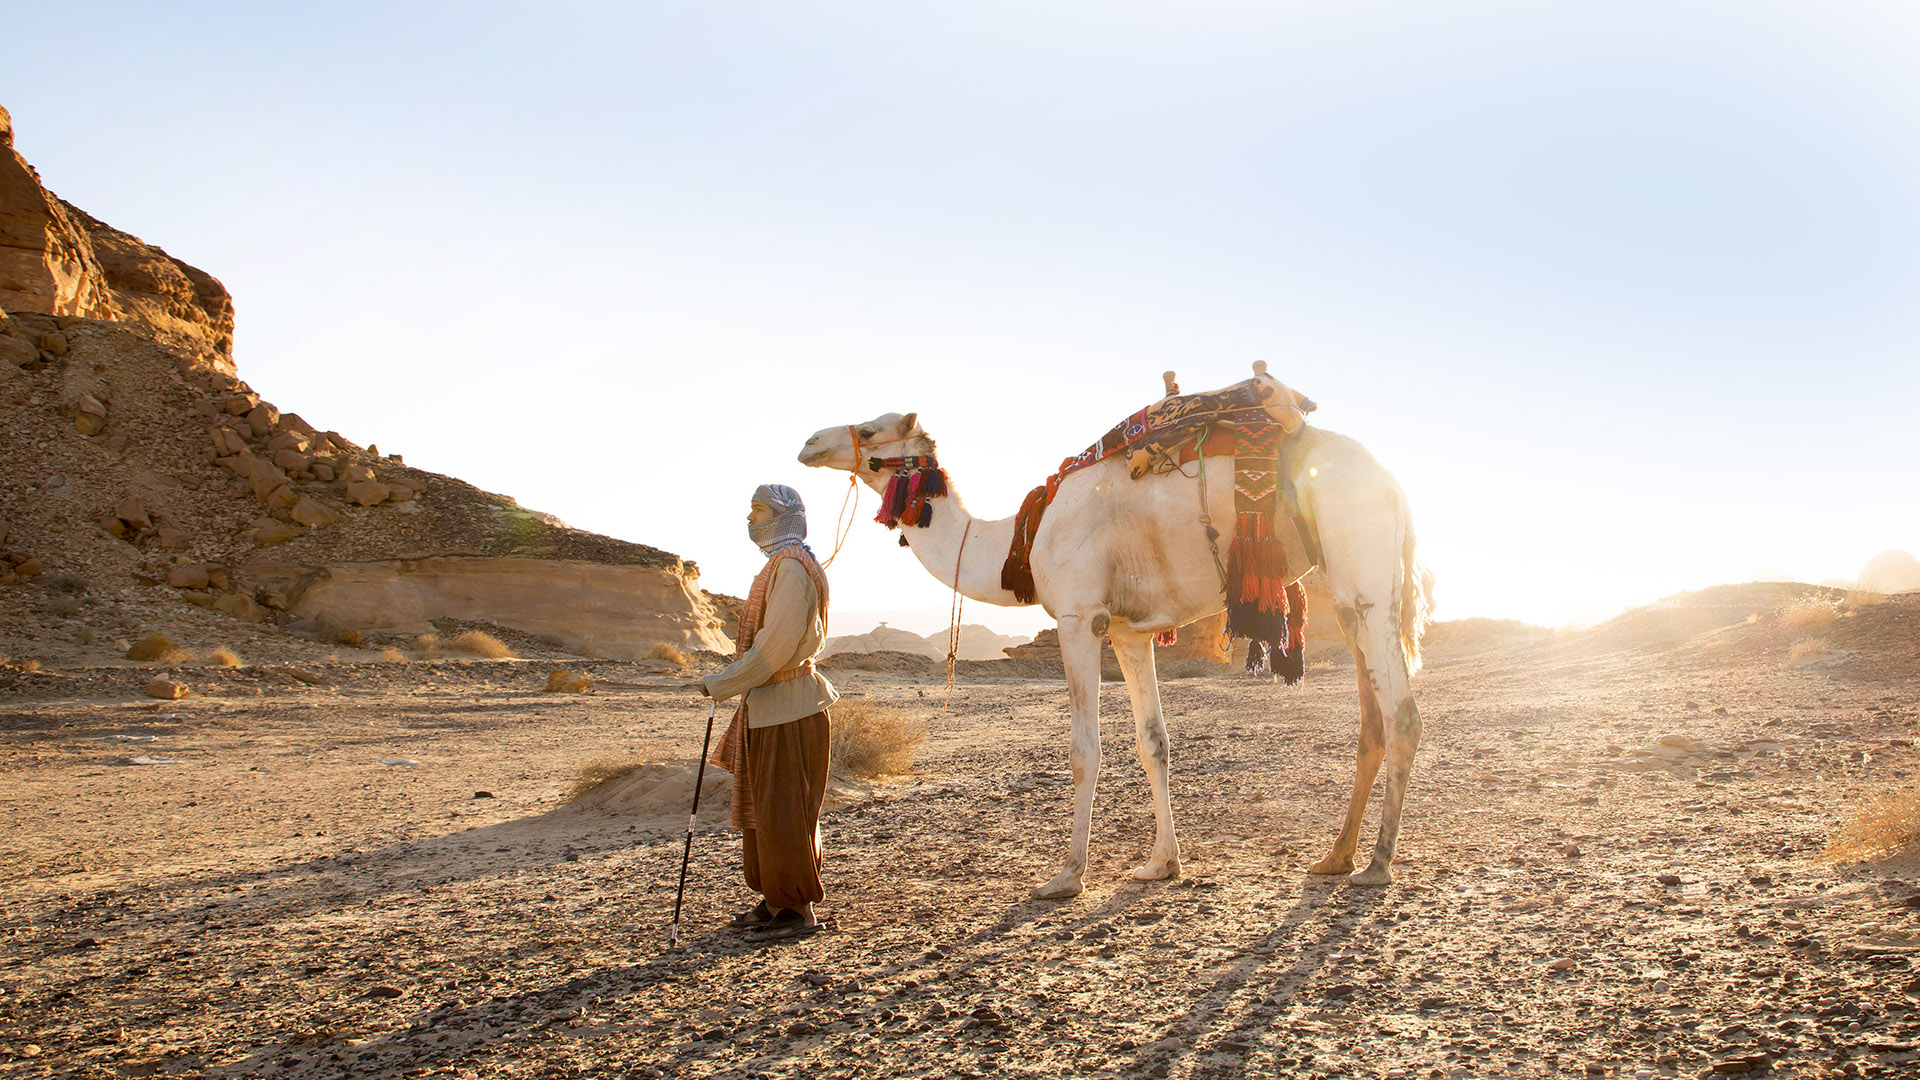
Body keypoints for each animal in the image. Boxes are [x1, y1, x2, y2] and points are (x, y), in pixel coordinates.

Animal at [791, 365, 1428, 895]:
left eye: (869, 429)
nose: (809, 443)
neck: (1019, 538)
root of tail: (1391, 481)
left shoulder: (1079, 616)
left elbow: (1083, 749)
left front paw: (1067, 875)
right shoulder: (1128, 631)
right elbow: (1155, 744)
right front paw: (1162, 863)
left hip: (1363, 568)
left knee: (1401, 713)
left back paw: (1378, 864)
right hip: (1346, 588)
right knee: (1371, 717)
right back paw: (1335, 857)